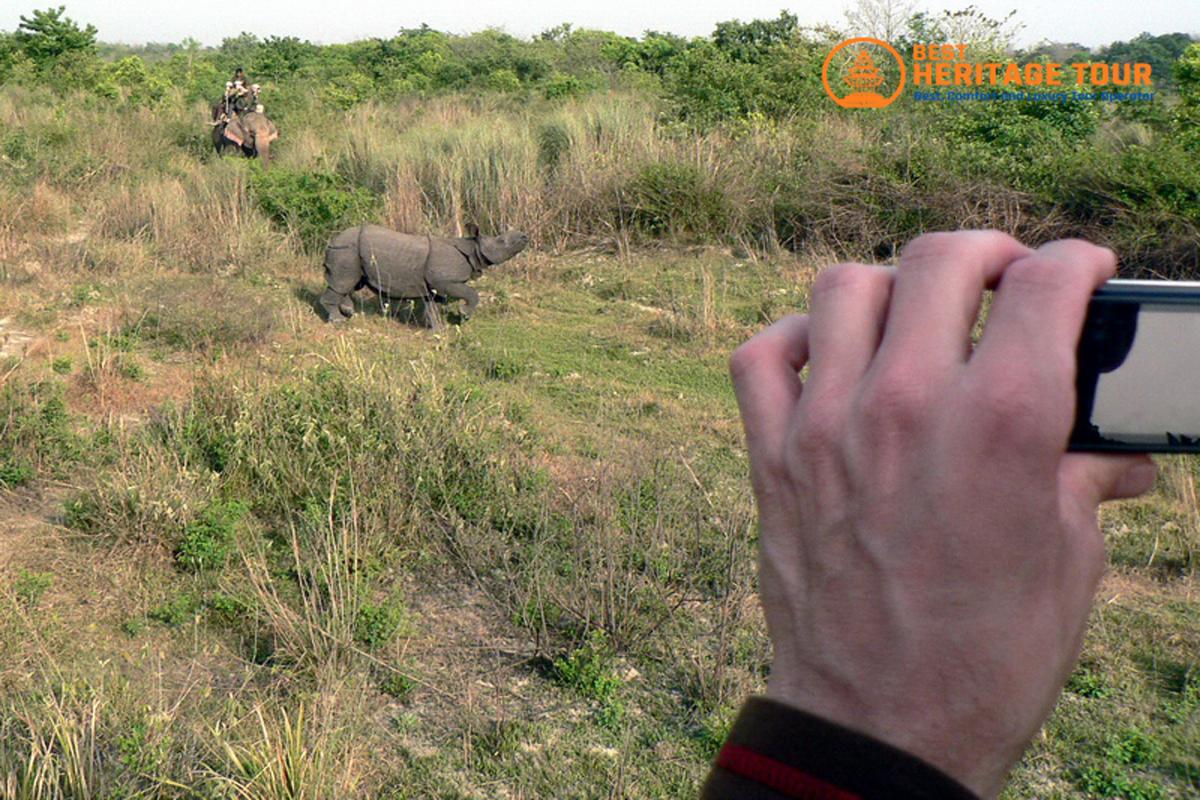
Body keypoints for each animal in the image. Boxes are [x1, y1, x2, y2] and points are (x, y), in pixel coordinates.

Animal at [321, 224, 528, 326]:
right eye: (502, 241)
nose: (525, 236)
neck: (473, 248)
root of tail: (332, 240)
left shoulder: (432, 285)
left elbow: (432, 307)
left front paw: (438, 329)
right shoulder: (446, 281)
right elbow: (471, 294)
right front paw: (464, 314)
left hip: (350, 251)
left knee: (349, 283)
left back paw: (348, 311)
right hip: (346, 250)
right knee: (343, 282)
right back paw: (338, 321)